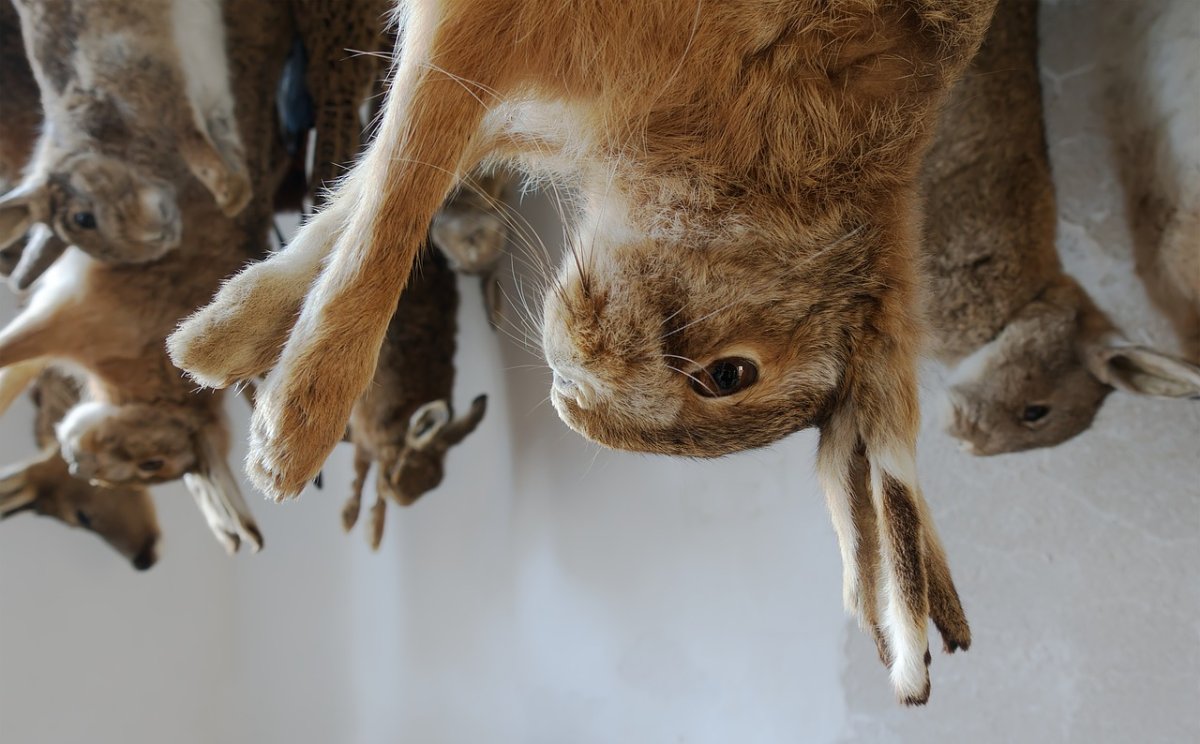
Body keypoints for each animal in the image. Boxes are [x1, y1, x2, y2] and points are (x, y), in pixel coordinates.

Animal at [0, 0, 252, 268]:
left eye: (83, 219)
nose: (159, 238)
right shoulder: (213, 104)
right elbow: (226, 139)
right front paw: (238, 197)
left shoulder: (150, 81)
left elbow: (192, 141)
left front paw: (229, 194)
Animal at [341, 247, 487, 550]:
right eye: (398, 472)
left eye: (437, 482)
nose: (404, 500)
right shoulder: (366, 434)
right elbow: (360, 473)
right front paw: (349, 520)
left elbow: (373, 483)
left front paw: (374, 533)